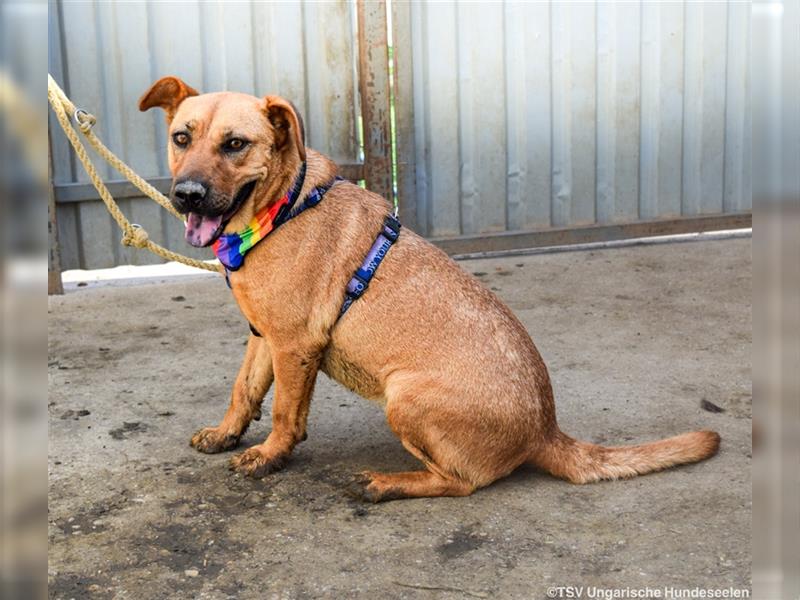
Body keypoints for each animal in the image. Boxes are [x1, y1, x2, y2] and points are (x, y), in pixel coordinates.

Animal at [136, 76, 720, 502]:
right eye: (182, 137)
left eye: (236, 145)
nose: (186, 196)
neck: (282, 207)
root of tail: (546, 430)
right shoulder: (265, 336)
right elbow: (244, 391)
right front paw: (226, 433)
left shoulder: (295, 346)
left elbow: (284, 413)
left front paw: (270, 454)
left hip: (404, 395)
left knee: (462, 483)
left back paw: (388, 483)